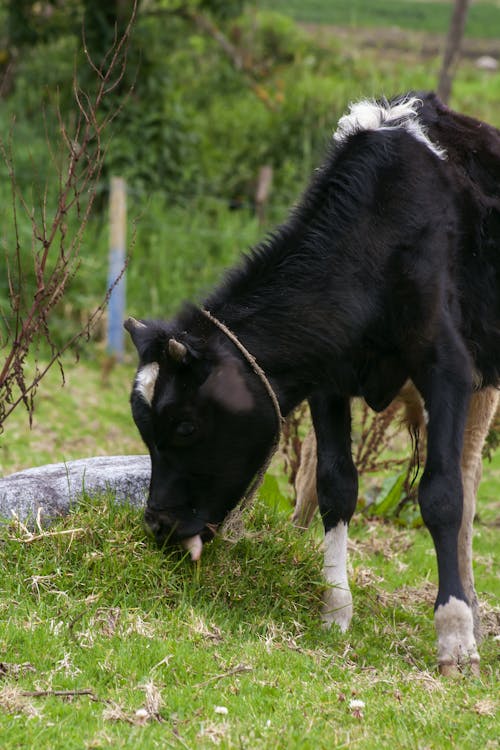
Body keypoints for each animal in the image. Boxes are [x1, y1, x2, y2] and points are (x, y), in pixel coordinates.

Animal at [126, 94, 500, 676]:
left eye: (185, 426)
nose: (158, 524)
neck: (378, 232)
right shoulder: (329, 378)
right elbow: (333, 484)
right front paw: (334, 609)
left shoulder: (447, 367)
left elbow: (441, 495)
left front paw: (454, 635)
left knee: (465, 477)